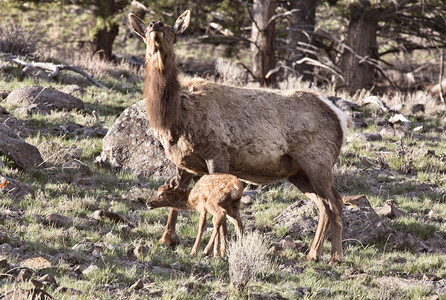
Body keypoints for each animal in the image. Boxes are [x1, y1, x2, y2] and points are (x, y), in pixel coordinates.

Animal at [129, 10, 348, 262]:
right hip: (298, 173)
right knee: (324, 205)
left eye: (172, 29)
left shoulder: (217, 153)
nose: (155, 24)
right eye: (147, 30)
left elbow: (219, 211)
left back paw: (334, 255)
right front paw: (167, 240)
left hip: (318, 161)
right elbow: (177, 200)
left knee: (335, 202)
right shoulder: (183, 163)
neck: (173, 119)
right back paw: (316, 253)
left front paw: (219, 250)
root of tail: (341, 119)